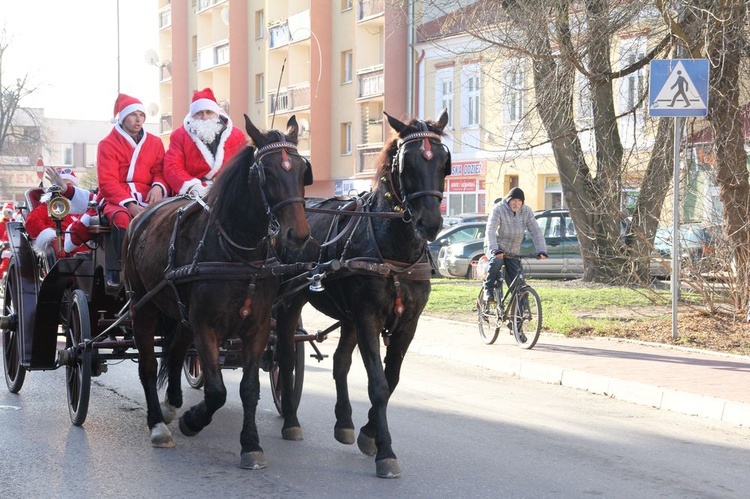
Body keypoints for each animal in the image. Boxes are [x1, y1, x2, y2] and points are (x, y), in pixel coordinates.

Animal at [125, 115, 312, 470]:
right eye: (267, 172)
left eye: (301, 170)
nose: (298, 236)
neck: (238, 254)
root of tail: (140, 218)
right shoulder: (205, 326)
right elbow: (216, 391)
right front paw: (193, 421)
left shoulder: (257, 327)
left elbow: (249, 388)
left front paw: (250, 444)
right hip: (142, 307)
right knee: (147, 365)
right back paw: (158, 423)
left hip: (180, 316)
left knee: (174, 353)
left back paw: (172, 404)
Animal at [278, 111, 450, 478]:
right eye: (407, 163)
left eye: (444, 162)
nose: (430, 223)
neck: (394, 250)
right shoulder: (368, 317)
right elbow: (378, 384)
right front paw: (385, 451)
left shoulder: (407, 323)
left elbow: (392, 378)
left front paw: (369, 433)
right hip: (289, 301)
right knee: (284, 355)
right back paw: (290, 418)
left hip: (349, 317)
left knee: (340, 362)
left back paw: (344, 421)